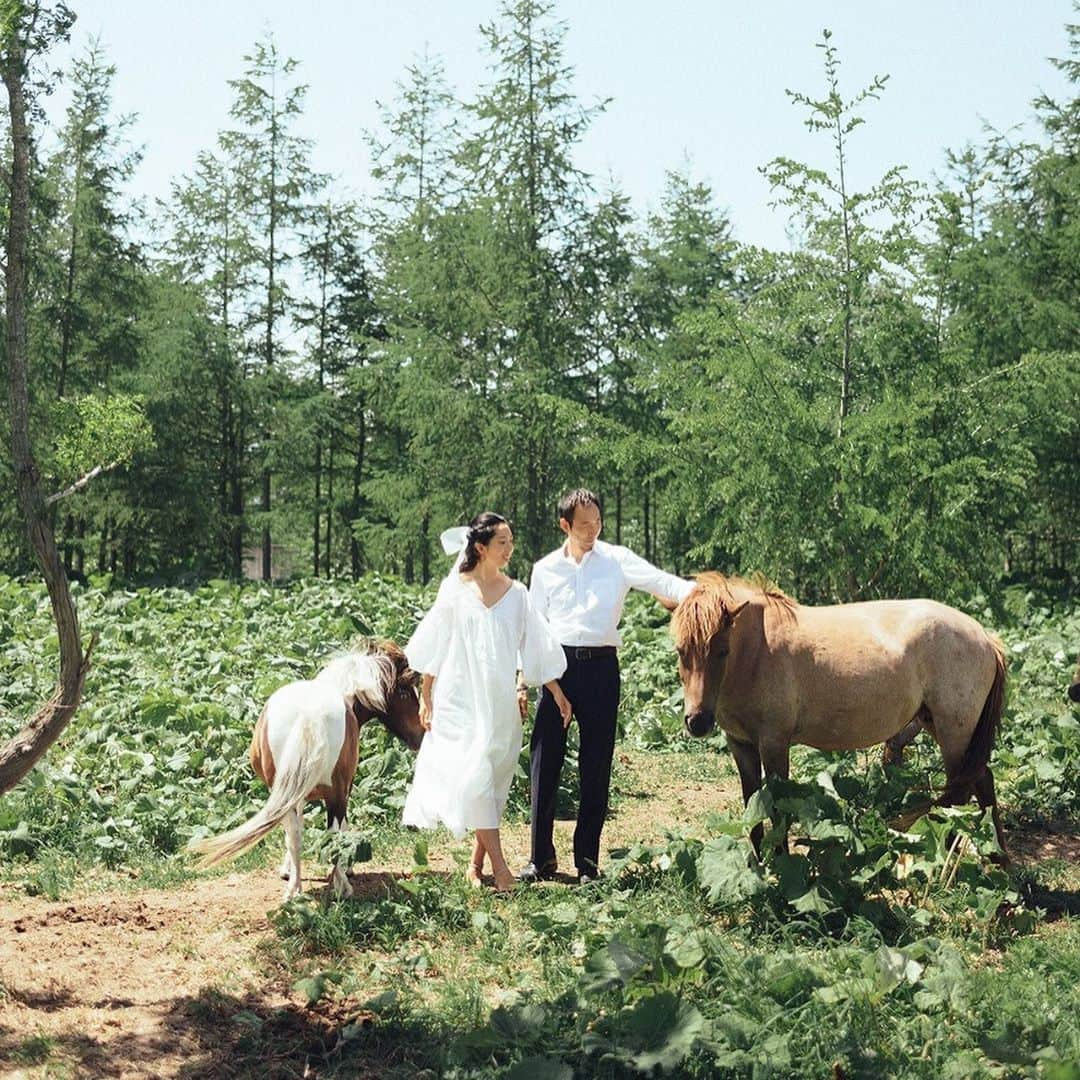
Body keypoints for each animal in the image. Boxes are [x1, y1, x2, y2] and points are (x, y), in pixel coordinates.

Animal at [190, 635, 421, 898]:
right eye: (405, 691)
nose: (420, 734)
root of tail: (309, 714)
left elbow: (295, 828)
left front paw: (289, 872)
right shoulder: (344, 787)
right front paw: (346, 867)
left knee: (295, 833)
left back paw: (294, 891)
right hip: (336, 792)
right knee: (332, 834)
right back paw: (342, 886)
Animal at [669, 574, 1006, 859]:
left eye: (722, 651)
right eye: (680, 650)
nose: (697, 721)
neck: (757, 652)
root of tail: (986, 637)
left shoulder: (774, 744)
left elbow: (777, 810)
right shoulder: (741, 745)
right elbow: (752, 809)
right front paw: (758, 867)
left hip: (954, 732)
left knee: (959, 792)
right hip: (936, 724)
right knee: (980, 781)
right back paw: (997, 857)